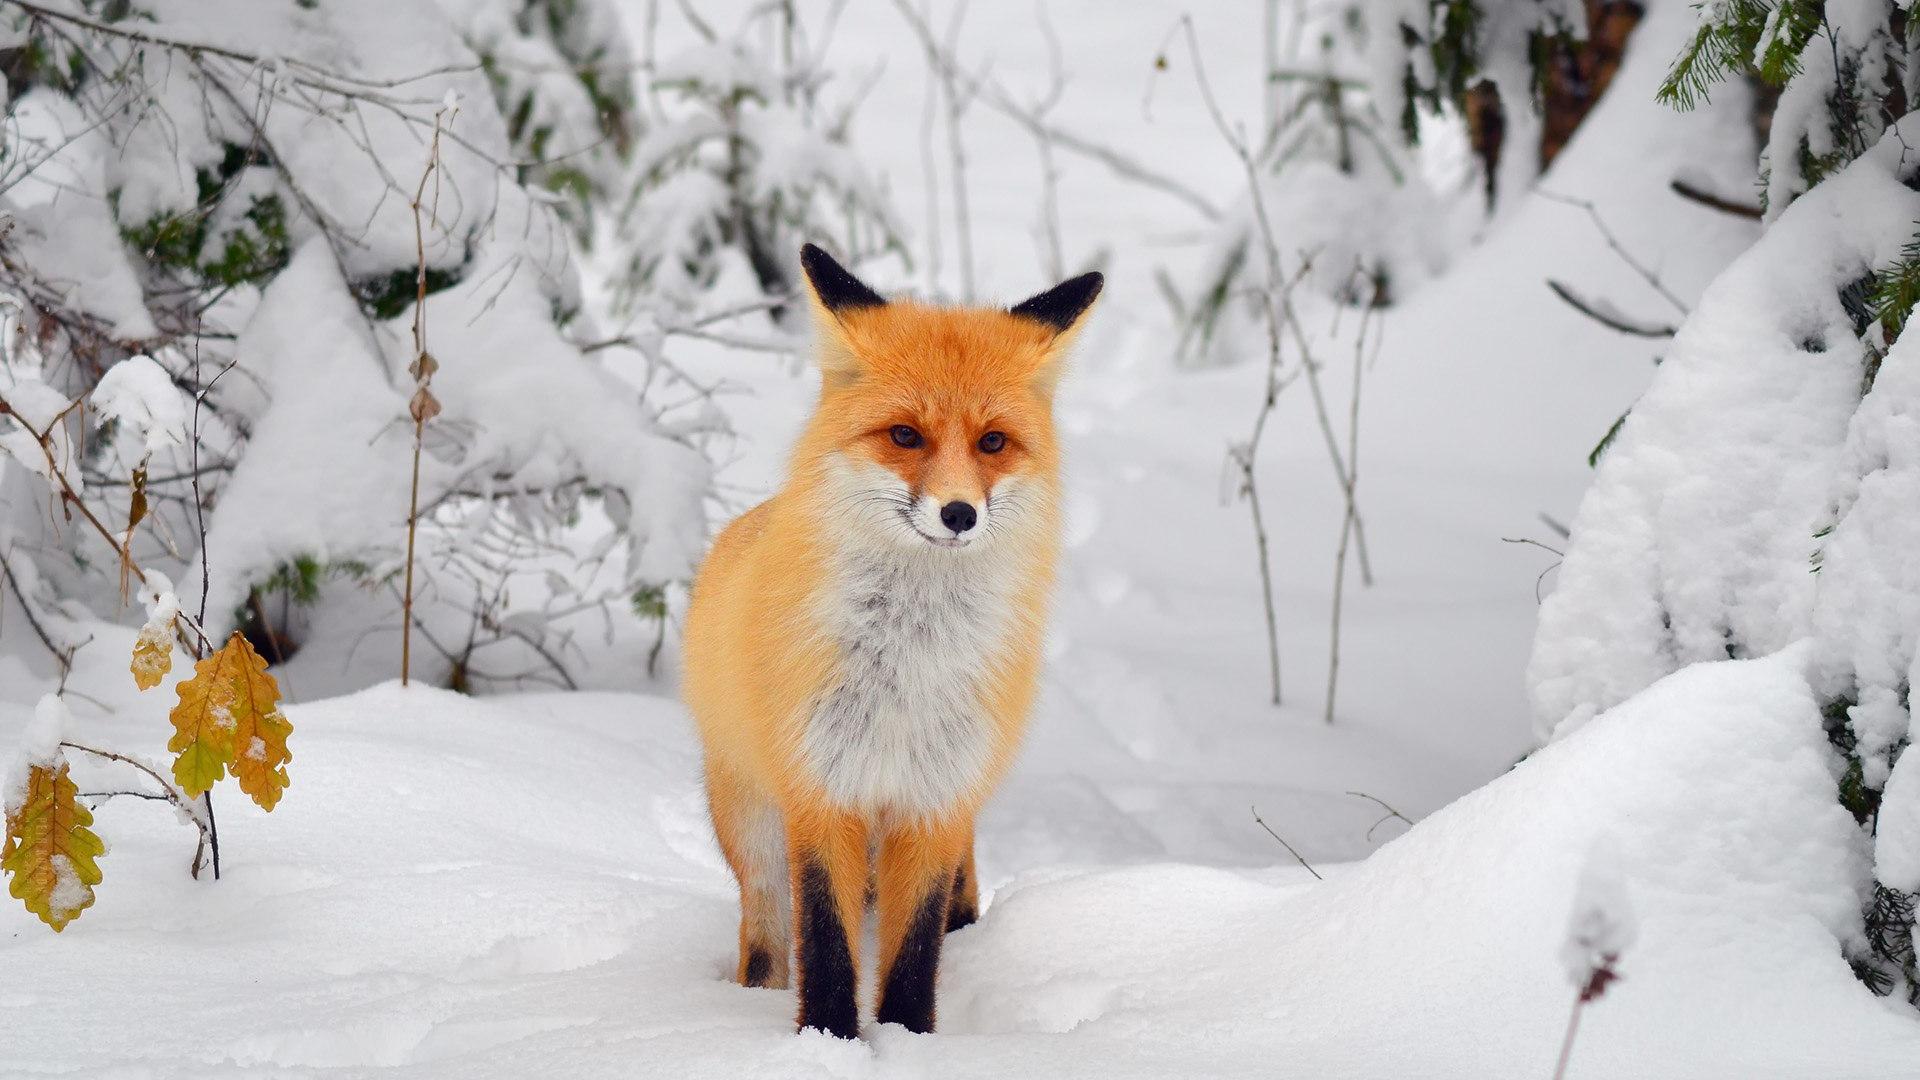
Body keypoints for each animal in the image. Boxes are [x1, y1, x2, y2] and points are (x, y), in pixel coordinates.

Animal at [679, 244, 1105, 1037]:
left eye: (992, 442)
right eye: (905, 435)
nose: (960, 513)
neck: (910, 663)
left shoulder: (936, 801)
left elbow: (914, 947)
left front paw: (910, 1037)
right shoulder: (822, 790)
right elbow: (827, 944)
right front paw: (829, 1039)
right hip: (754, 834)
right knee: (767, 937)